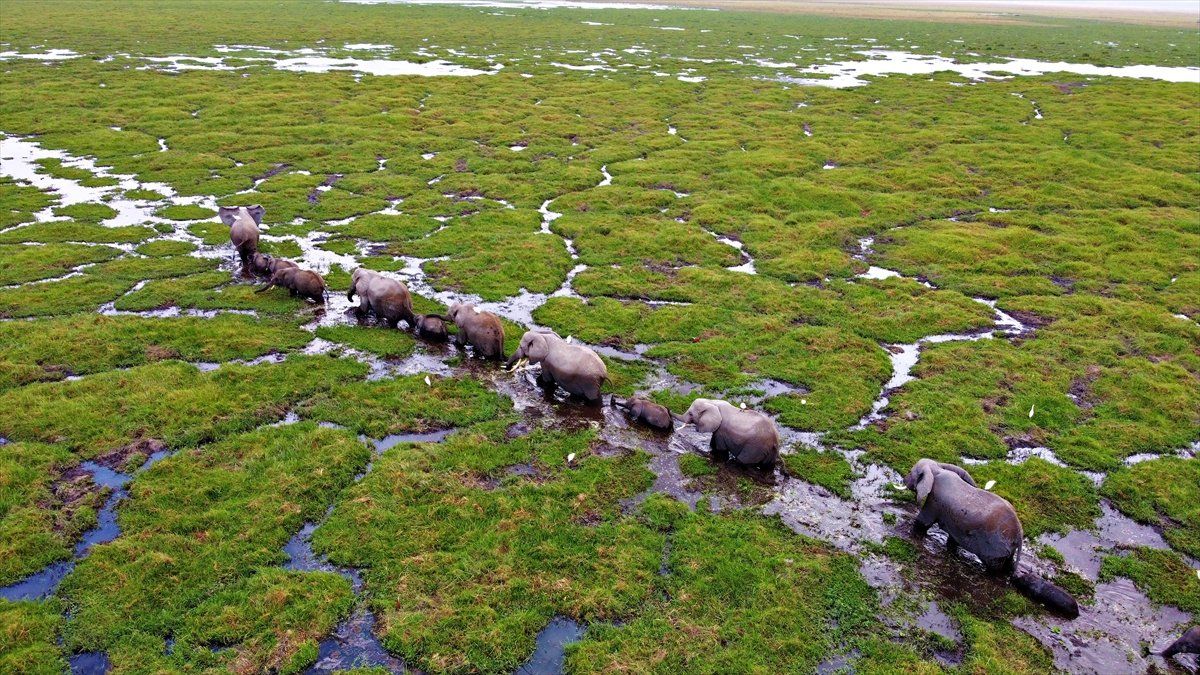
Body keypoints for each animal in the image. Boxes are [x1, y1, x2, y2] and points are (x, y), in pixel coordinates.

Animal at [902, 456, 1084, 614]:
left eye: (911, 472)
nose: (904, 481)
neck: (937, 469)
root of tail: (1019, 535)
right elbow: (953, 538)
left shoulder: (934, 501)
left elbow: (924, 521)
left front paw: (913, 535)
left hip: (995, 546)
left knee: (995, 569)